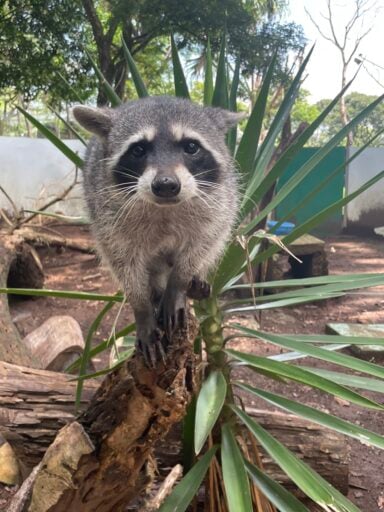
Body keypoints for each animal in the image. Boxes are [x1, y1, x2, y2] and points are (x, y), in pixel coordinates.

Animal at [73, 96, 243, 366]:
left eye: (191, 147)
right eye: (138, 150)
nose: (165, 185)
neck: (165, 208)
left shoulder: (219, 202)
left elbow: (205, 240)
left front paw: (178, 283)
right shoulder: (108, 219)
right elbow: (124, 264)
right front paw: (142, 309)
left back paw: (192, 282)